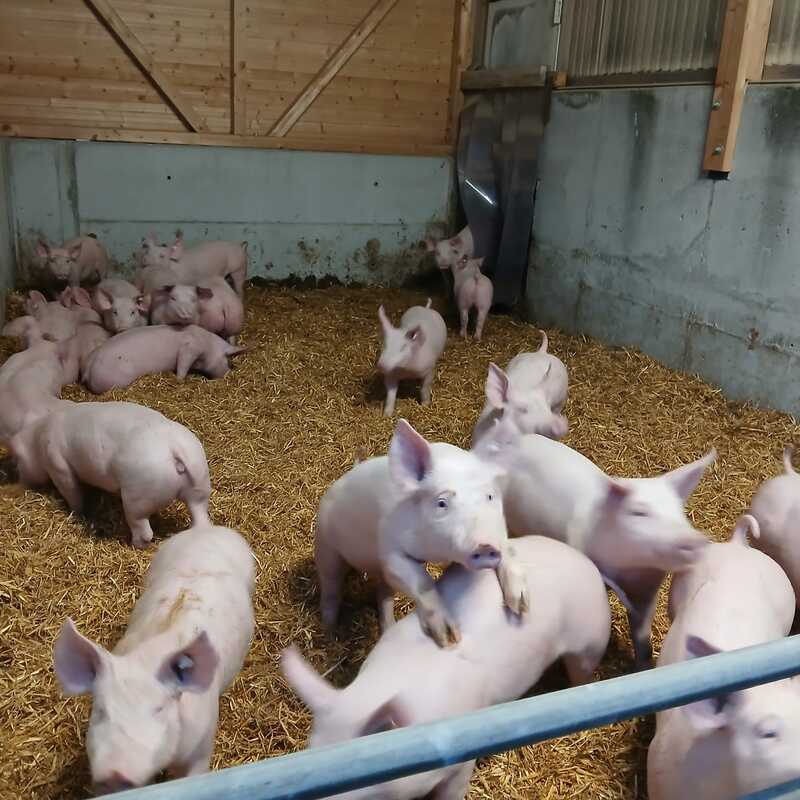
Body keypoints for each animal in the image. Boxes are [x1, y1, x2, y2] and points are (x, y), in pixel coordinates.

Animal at [10, 400, 211, 548]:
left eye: (18, 461)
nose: (19, 481)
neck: (37, 438)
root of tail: (175, 447)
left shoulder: (57, 465)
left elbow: (71, 490)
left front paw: (76, 513)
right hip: (200, 483)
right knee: (200, 517)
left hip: (139, 495)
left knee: (143, 529)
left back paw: (132, 544)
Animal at [82, 324, 247, 394]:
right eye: (228, 360)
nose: (227, 374)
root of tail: (86, 369)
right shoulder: (190, 348)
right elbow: (182, 364)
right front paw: (180, 380)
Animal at [315, 418, 528, 647]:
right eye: (441, 503)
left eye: (489, 496)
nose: (485, 545)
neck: (437, 554)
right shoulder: (390, 551)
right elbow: (422, 582)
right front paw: (449, 638)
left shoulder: (499, 528)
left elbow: (508, 548)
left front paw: (522, 606)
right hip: (326, 549)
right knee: (330, 590)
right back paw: (329, 632)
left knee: (383, 593)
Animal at [475, 422, 715, 668]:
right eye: (639, 512)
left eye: (680, 511)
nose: (697, 539)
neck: (632, 571)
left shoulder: (648, 593)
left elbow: (642, 637)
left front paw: (644, 666)